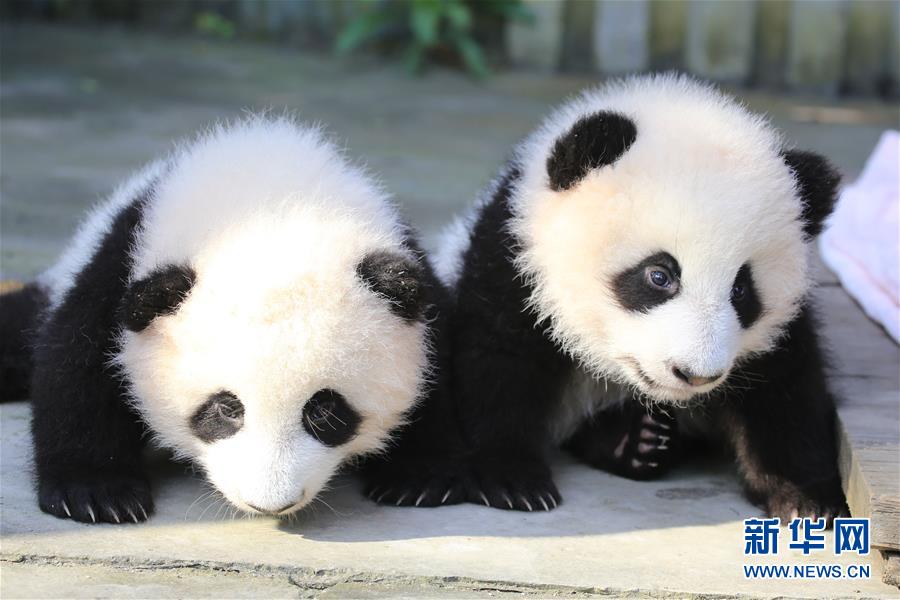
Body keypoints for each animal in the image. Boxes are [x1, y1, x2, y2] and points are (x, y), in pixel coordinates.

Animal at [0, 117, 442, 524]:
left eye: (324, 410)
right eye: (226, 408)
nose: (269, 504)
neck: (272, 203)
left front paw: (416, 480)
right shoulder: (122, 262)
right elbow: (77, 361)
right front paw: (98, 495)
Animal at [366, 74, 847, 523]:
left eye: (741, 290)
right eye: (659, 275)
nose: (694, 374)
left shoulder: (779, 329)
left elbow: (784, 392)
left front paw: (804, 500)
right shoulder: (516, 255)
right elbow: (499, 356)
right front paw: (513, 480)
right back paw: (635, 442)